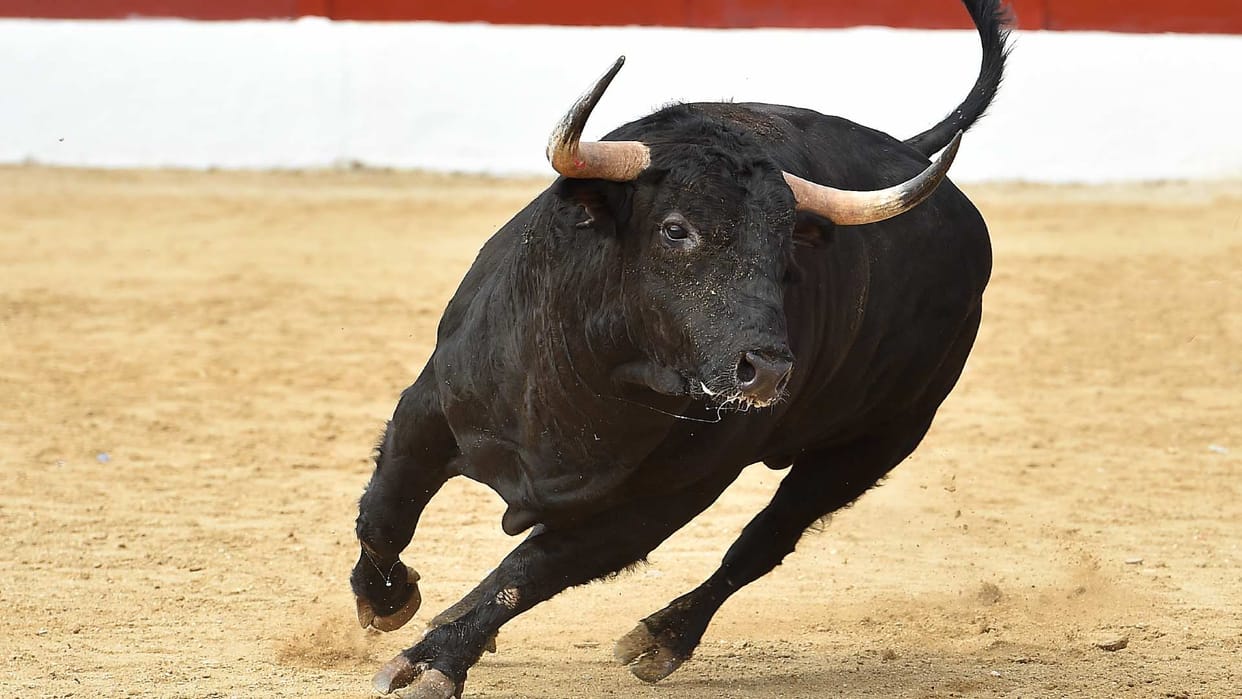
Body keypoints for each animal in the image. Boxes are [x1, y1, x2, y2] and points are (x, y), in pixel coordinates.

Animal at [350, 1, 1010, 696]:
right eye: (675, 230)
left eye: (786, 251)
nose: (766, 372)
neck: (590, 380)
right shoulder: (428, 407)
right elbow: (384, 514)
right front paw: (389, 601)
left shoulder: (665, 498)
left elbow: (525, 575)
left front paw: (435, 660)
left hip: (882, 438)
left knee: (767, 537)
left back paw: (664, 637)